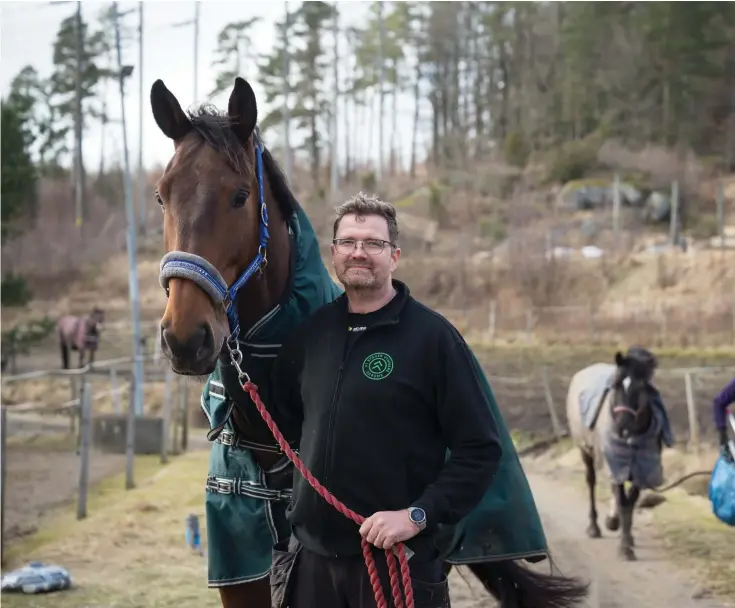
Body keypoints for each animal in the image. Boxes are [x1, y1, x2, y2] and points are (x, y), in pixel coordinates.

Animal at [568, 346, 676, 560]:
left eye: (642, 387)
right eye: (615, 385)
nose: (622, 426)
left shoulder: (642, 466)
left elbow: (630, 501)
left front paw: (627, 541)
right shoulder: (615, 460)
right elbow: (623, 499)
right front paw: (625, 547)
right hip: (586, 451)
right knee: (591, 482)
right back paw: (594, 527)